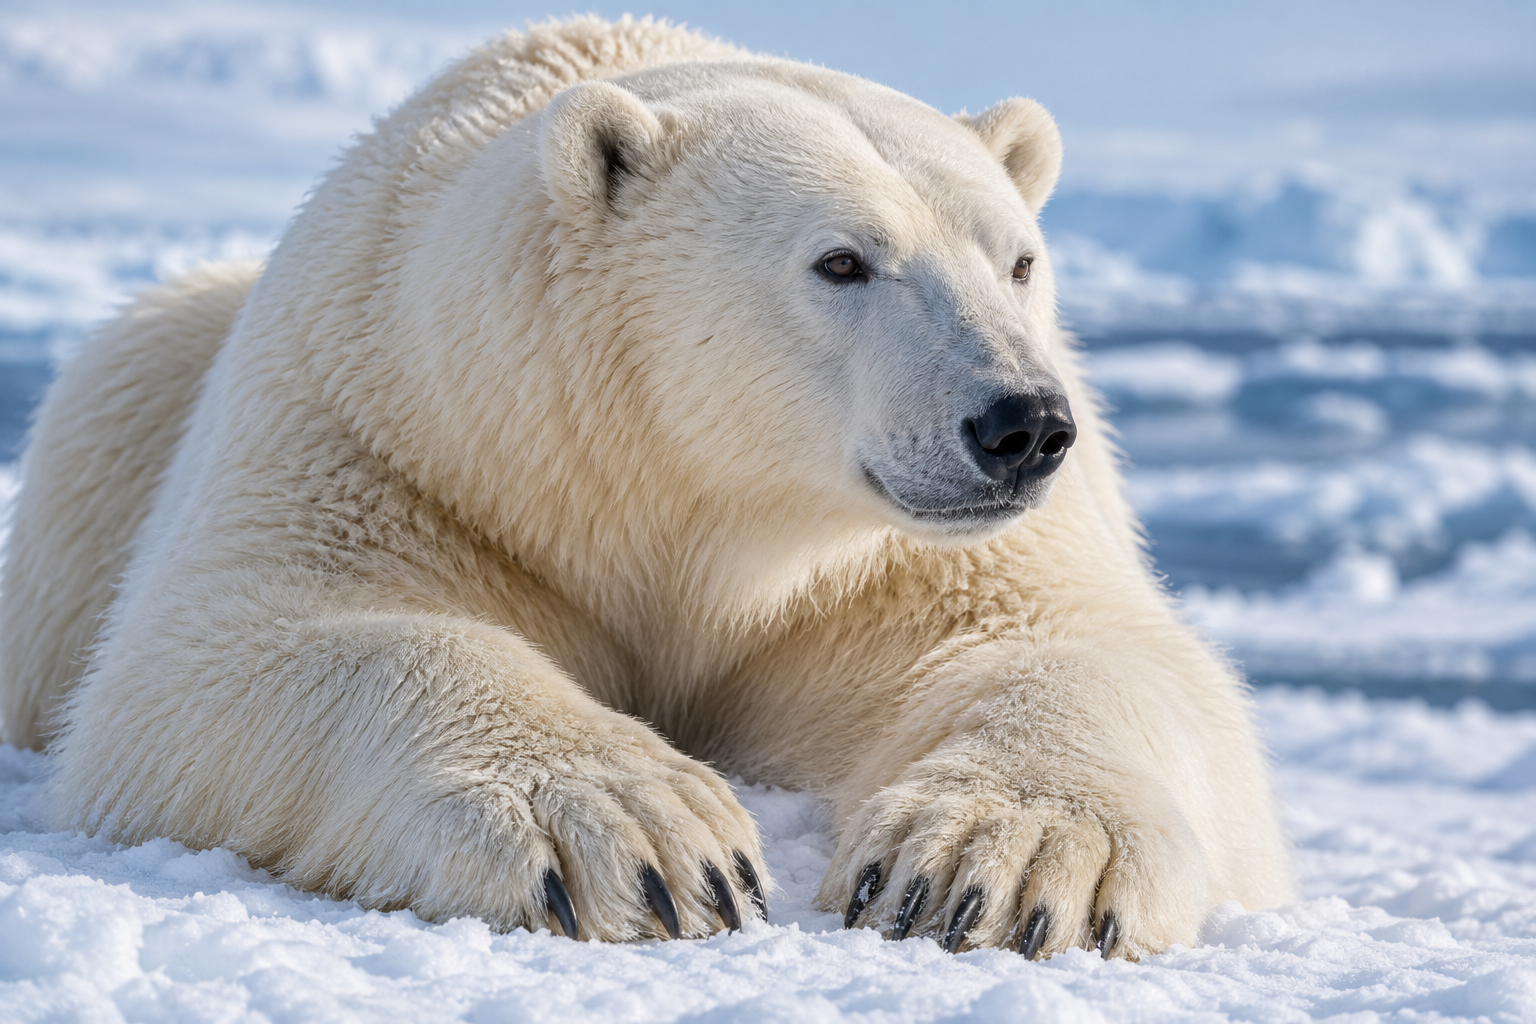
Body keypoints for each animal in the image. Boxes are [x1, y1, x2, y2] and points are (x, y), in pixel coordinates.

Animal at [0, 16, 1292, 956]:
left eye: (1020, 258)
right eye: (842, 260)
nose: (1022, 425)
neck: (685, 503)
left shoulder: (886, 566)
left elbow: (1080, 648)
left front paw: (997, 867)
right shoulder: (396, 442)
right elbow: (234, 643)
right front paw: (649, 841)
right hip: (135, 396)